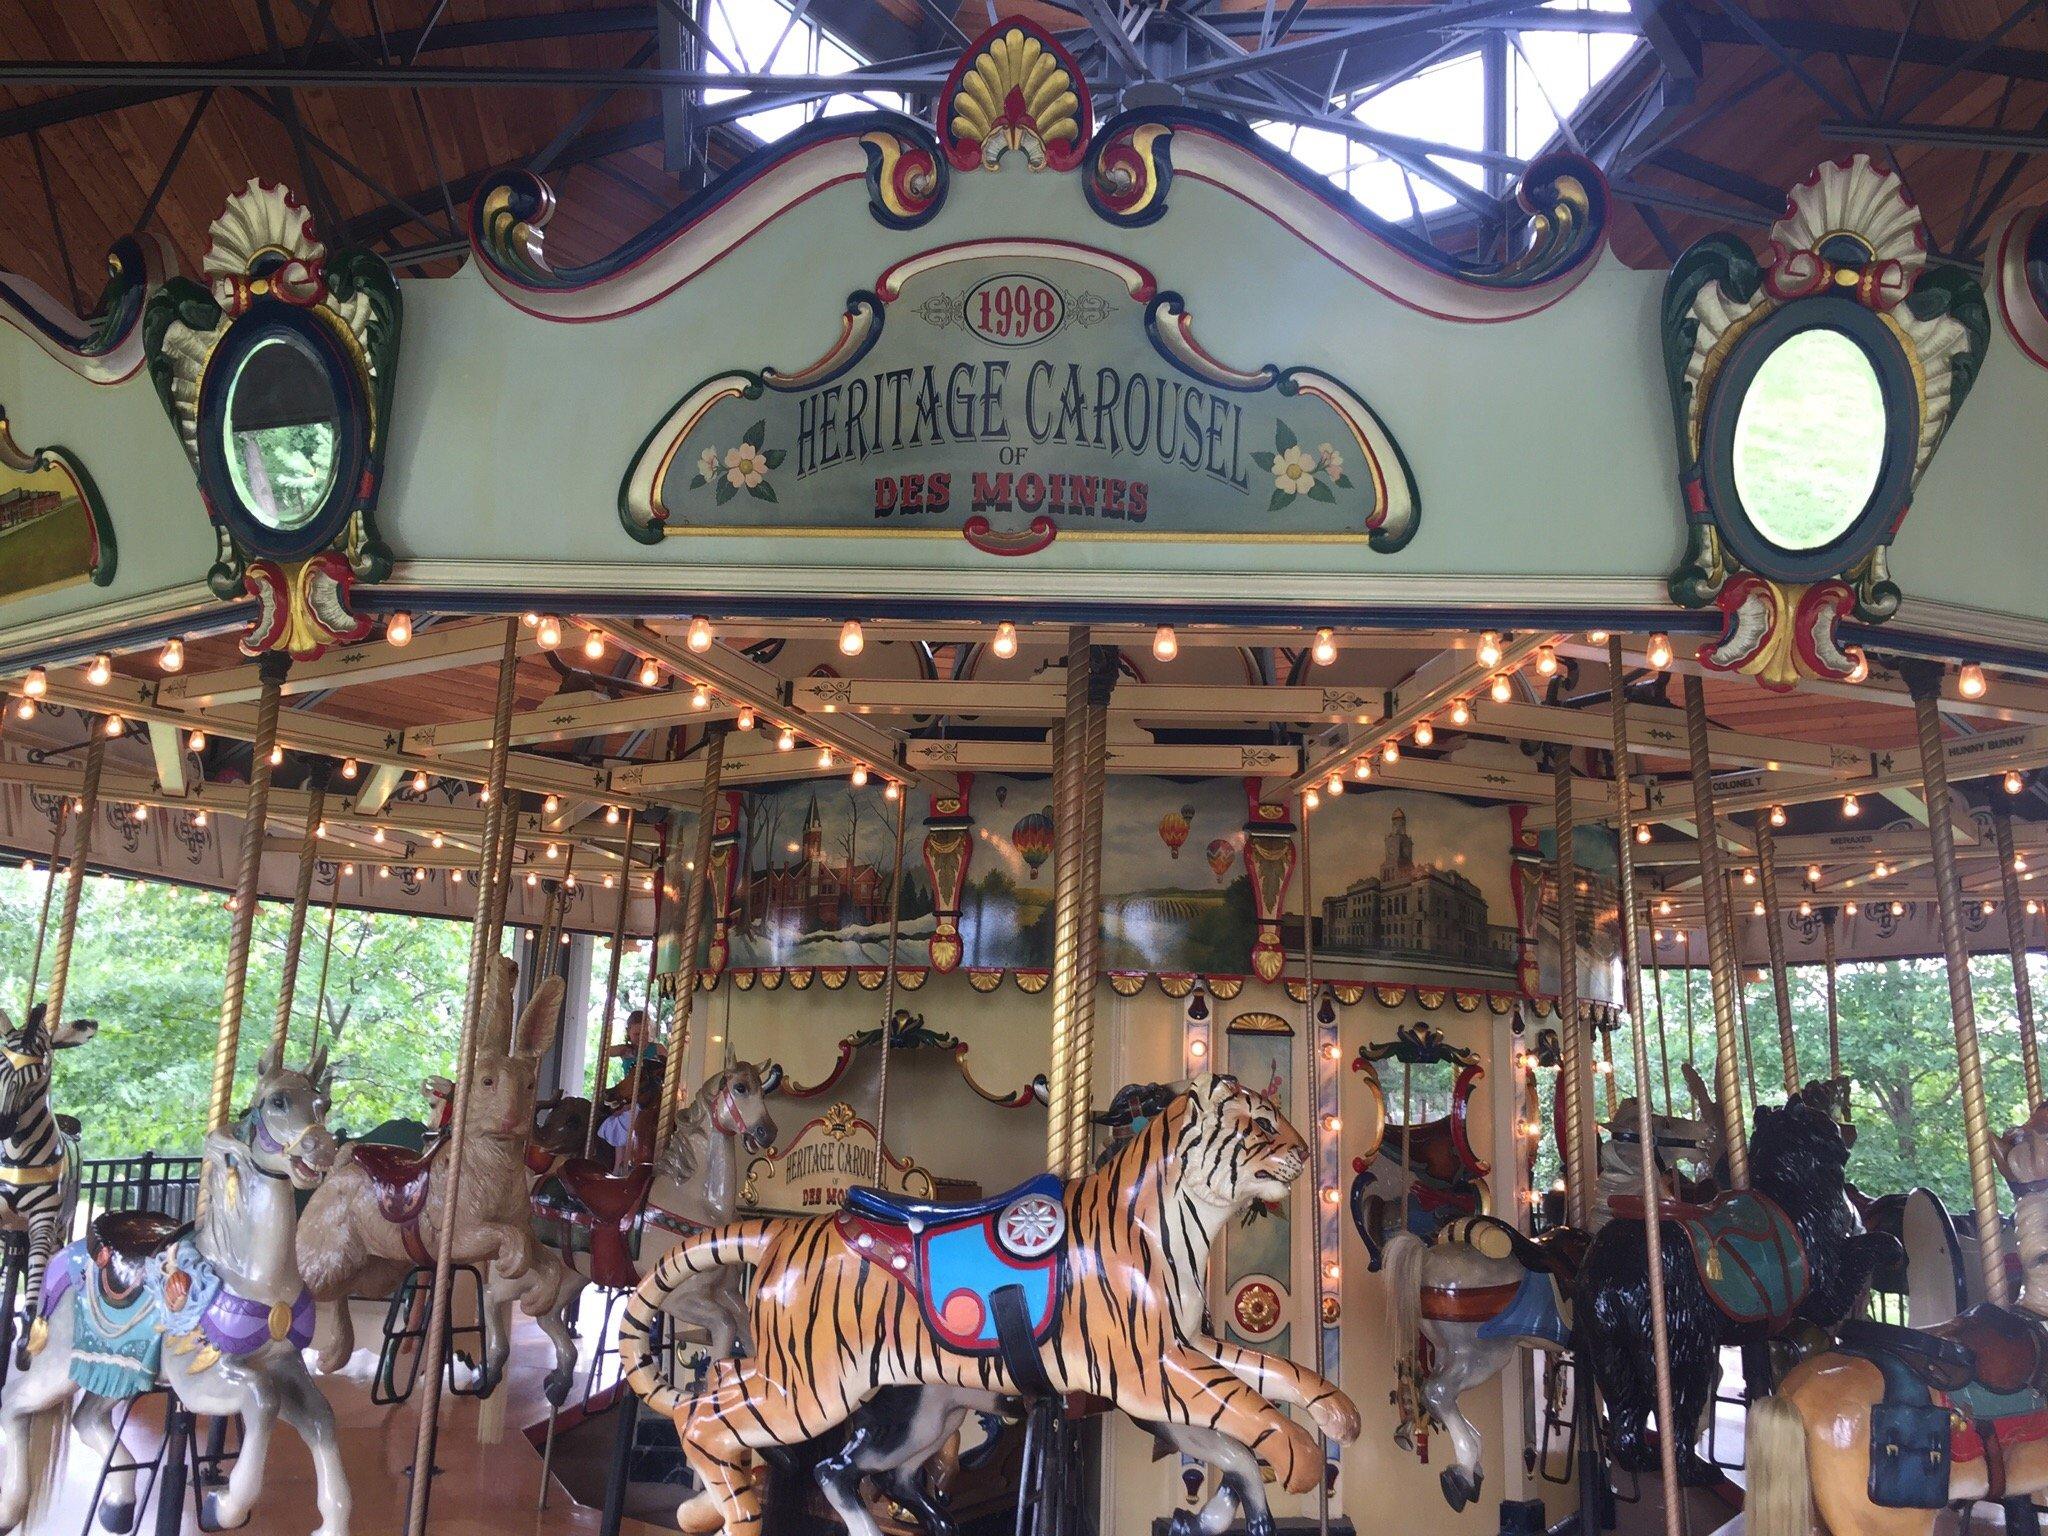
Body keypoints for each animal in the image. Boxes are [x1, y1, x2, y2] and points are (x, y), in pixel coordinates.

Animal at [0, 1011, 96, 1368]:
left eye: (41, 1066)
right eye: (1, 1060)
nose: (4, 1123)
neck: (17, 1154)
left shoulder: (42, 1220)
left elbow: (35, 1283)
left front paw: (26, 1343)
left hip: (57, 1227)